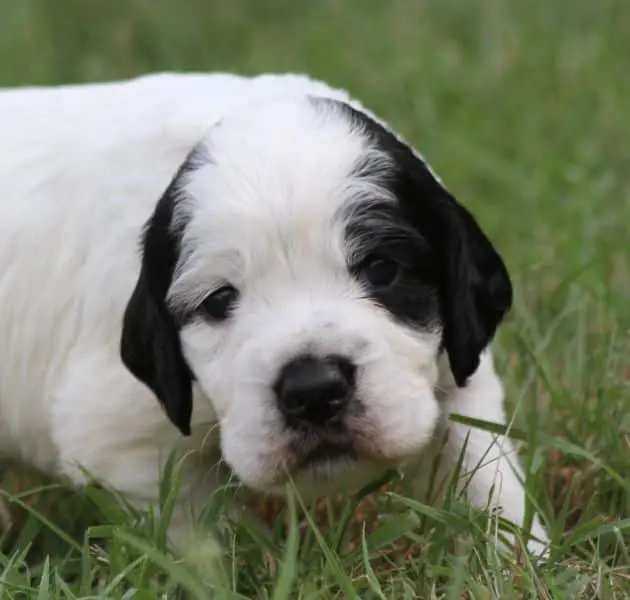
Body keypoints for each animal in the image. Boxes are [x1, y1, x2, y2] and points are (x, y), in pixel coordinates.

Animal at [0, 72, 548, 555]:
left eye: (381, 269)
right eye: (219, 300)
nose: (314, 391)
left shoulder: (457, 374)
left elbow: (484, 474)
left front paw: (521, 562)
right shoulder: (119, 439)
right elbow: (202, 536)